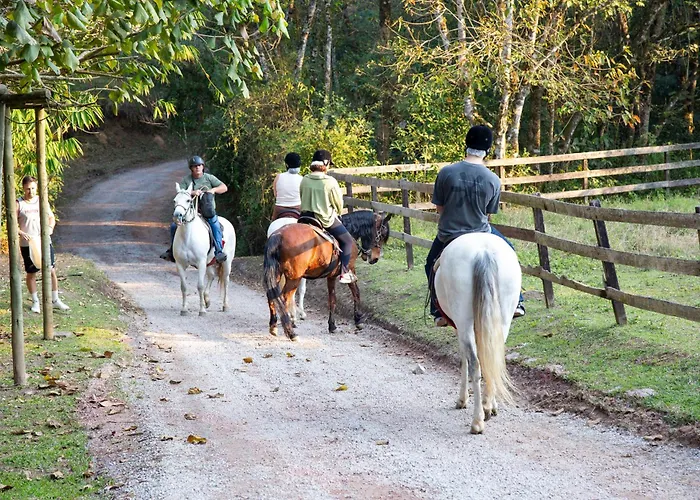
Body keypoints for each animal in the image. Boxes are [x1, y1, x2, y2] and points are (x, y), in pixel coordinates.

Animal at [171, 183, 236, 316]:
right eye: (175, 200)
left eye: (188, 200)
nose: (177, 216)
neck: (188, 237)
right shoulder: (180, 264)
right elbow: (183, 287)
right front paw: (184, 309)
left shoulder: (201, 263)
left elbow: (200, 286)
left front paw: (202, 311)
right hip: (209, 262)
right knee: (211, 276)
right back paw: (207, 300)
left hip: (227, 262)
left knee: (226, 280)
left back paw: (225, 306)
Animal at [263, 210, 392, 340]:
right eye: (382, 235)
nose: (375, 258)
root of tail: (278, 235)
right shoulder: (350, 269)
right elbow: (356, 292)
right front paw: (358, 319)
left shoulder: (331, 276)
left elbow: (332, 299)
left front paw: (332, 325)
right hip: (294, 278)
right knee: (284, 298)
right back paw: (291, 331)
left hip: (278, 274)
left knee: (272, 295)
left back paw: (274, 326)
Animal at [433, 232, 521, 434]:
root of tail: (483, 252)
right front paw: (492, 405)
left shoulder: (458, 327)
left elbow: (464, 359)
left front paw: (462, 399)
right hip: (503, 319)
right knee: (493, 359)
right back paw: (488, 407)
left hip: (463, 321)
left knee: (475, 364)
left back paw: (477, 421)